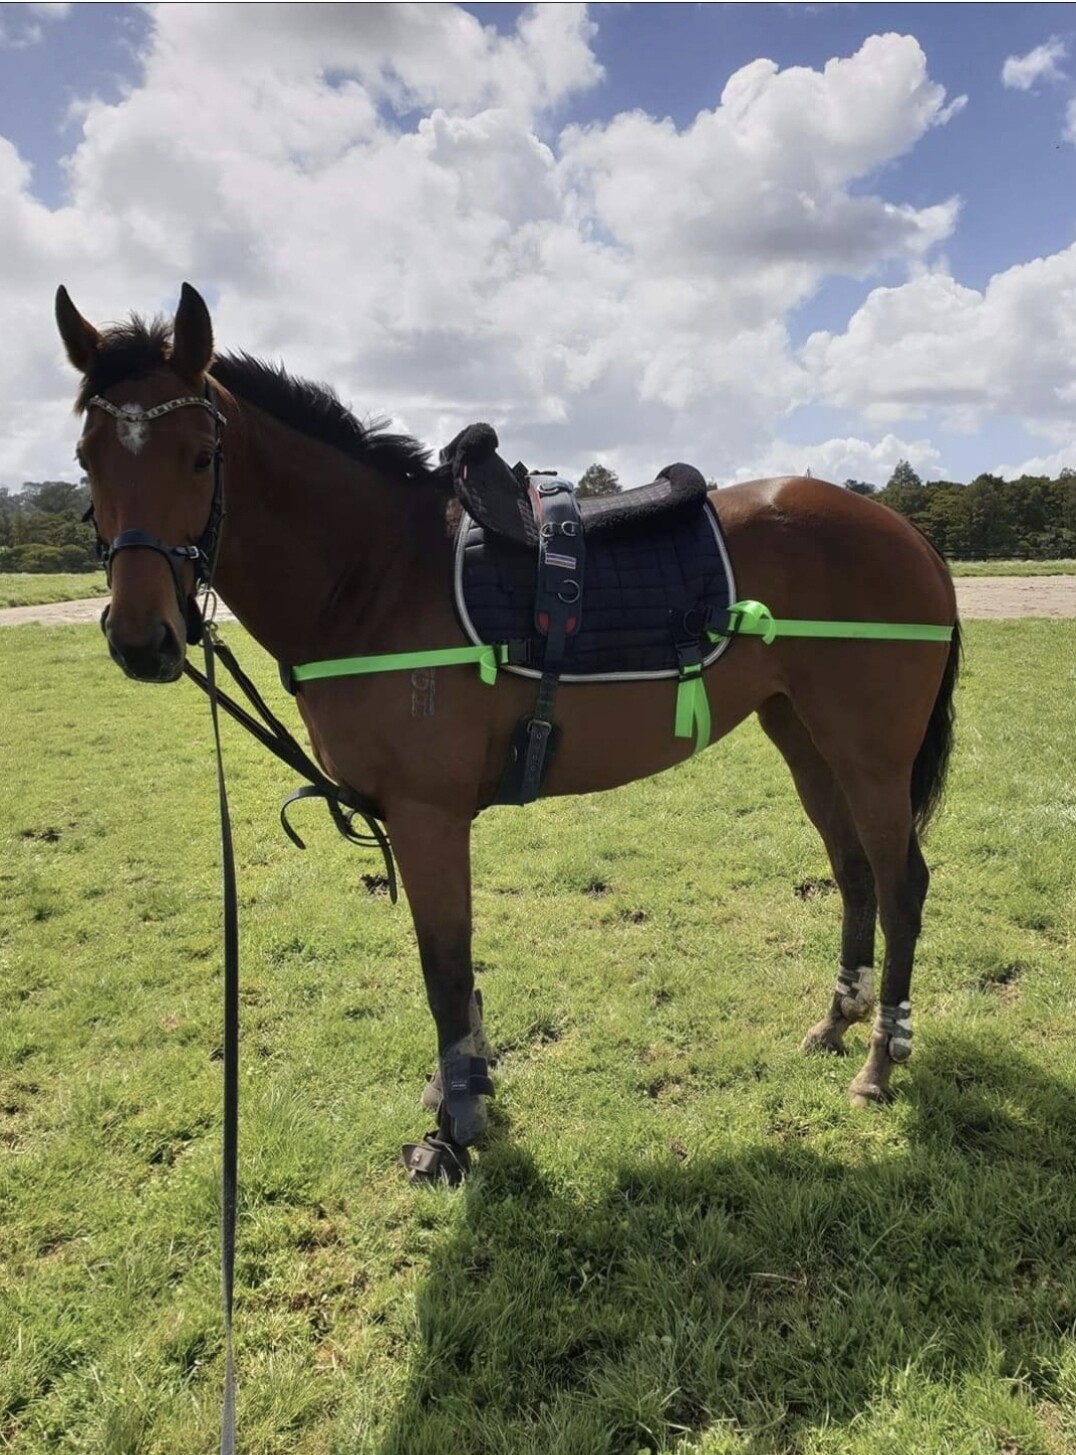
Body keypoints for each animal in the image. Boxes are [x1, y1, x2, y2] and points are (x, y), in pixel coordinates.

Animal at [55, 282, 960, 1165]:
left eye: (201, 457)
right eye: (87, 459)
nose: (141, 639)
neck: (373, 574)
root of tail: (908, 534)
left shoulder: (427, 815)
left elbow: (445, 970)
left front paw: (458, 1118)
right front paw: (462, 1085)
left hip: (871, 757)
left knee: (902, 885)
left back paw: (881, 1059)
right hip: (805, 738)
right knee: (854, 874)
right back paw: (837, 1022)